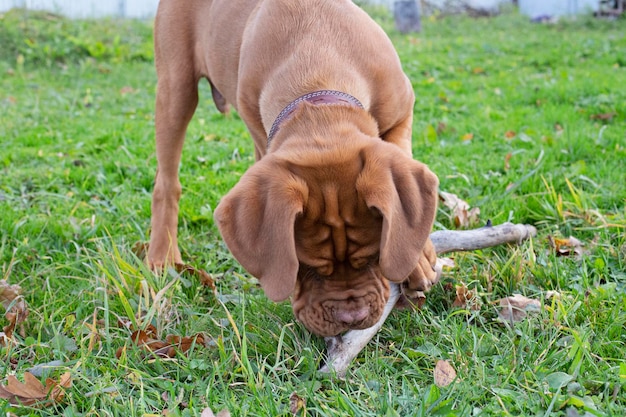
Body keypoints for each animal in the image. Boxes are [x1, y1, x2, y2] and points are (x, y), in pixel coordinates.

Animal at [148, 0, 436, 334]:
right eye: (305, 267)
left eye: (375, 256)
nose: (351, 318)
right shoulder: (263, 137)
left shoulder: (402, 113)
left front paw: (418, 259)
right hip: (175, 87)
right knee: (166, 181)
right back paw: (162, 256)